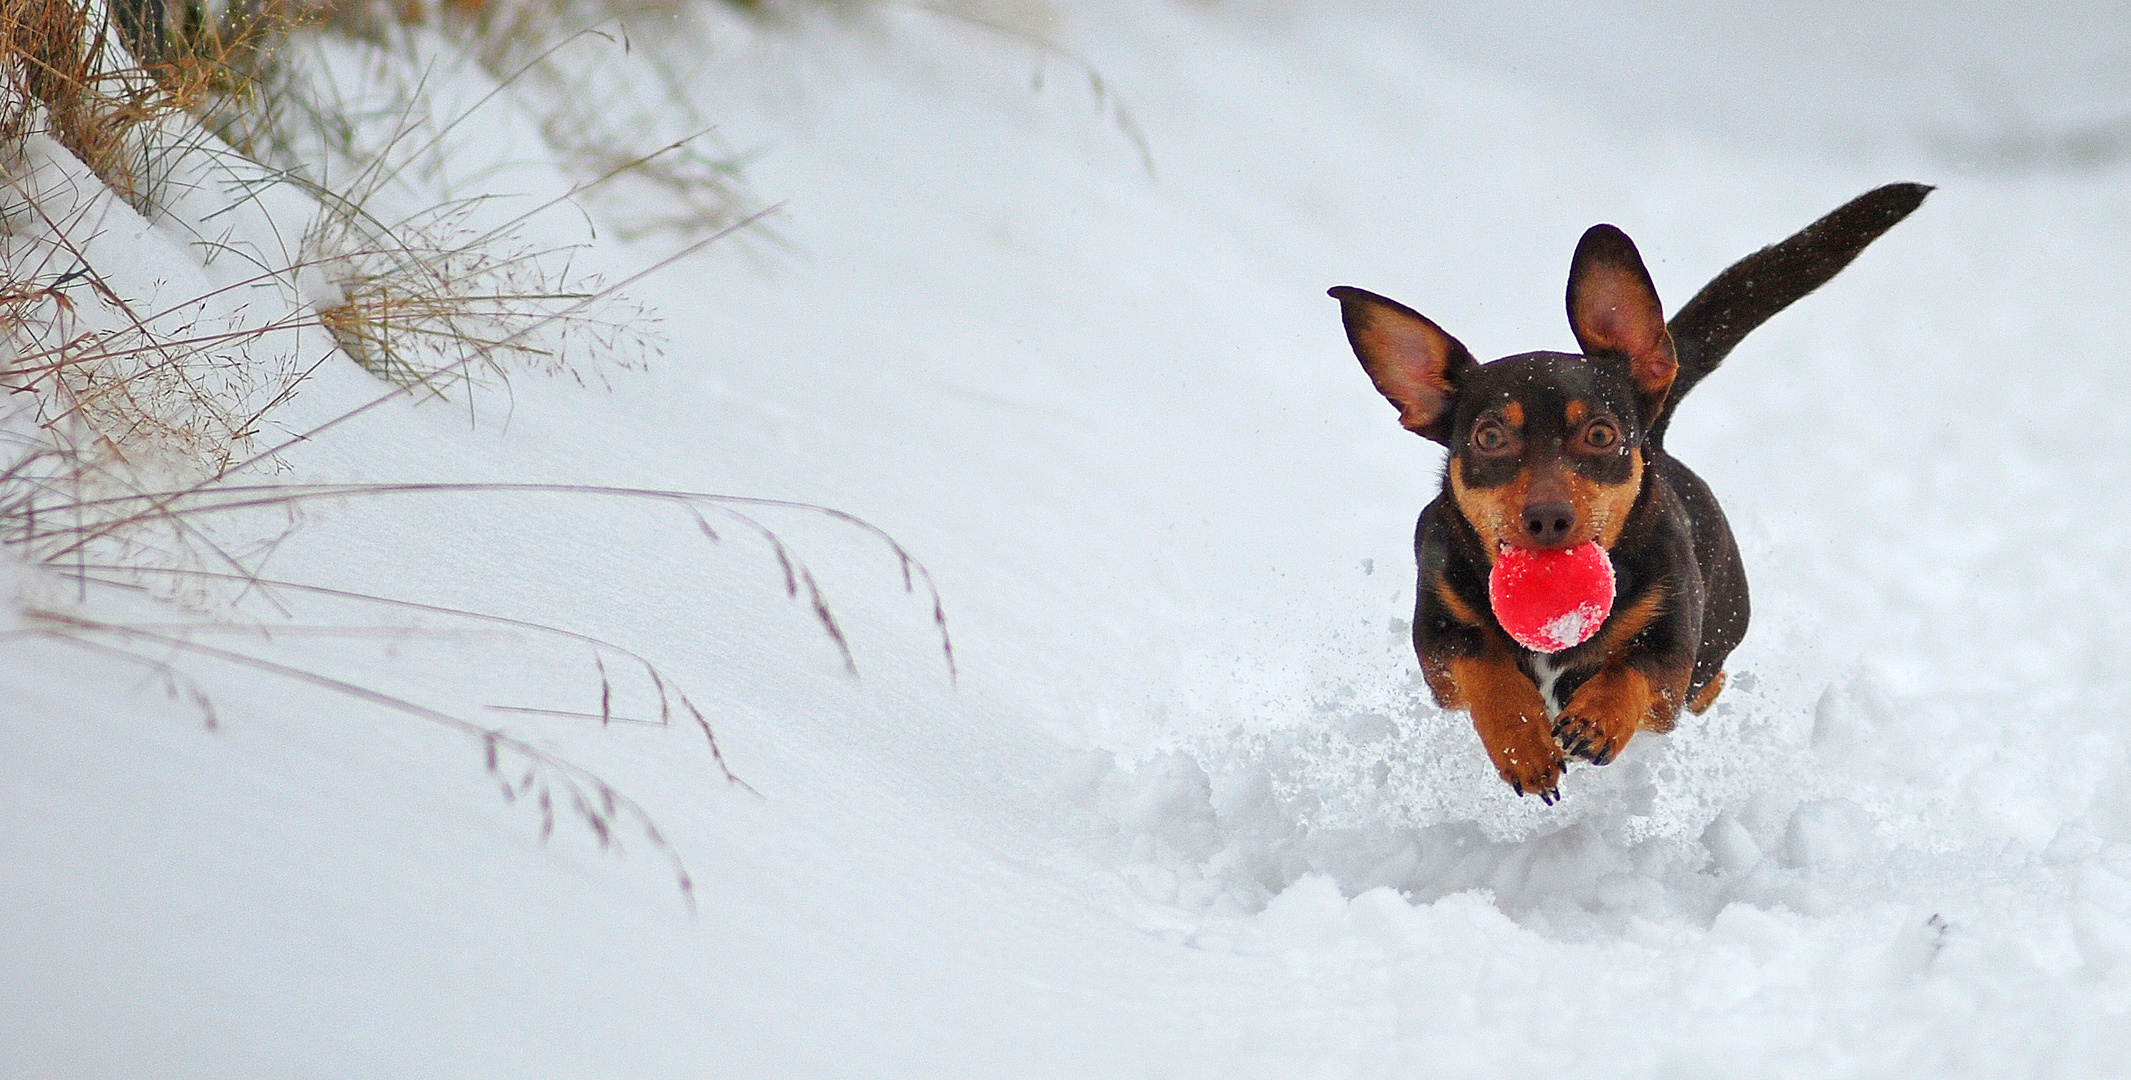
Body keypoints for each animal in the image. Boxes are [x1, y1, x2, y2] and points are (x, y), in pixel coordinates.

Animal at [1338, 182, 1943, 800]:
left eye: (1601, 434)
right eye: (1488, 437)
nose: (1548, 518)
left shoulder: (1671, 639)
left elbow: (1637, 667)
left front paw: (1598, 718)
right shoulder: (1440, 638)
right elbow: (1483, 666)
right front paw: (1522, 741)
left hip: (1717, 627)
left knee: (1703, 681)